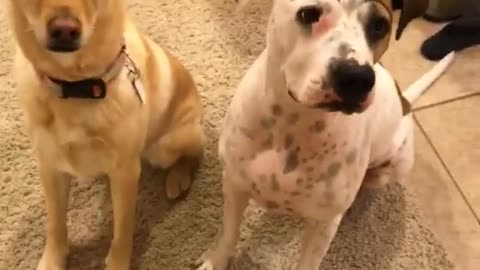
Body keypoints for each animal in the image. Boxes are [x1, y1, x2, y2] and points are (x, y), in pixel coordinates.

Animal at [7, 1, 203, 268]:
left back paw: (178, 178)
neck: (76, 87)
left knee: (196, 153)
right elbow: (55, 224)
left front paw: (117, 262)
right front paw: (53, 260)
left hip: (164, 147)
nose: (64, 30)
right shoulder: (50, 167)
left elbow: (122, 229)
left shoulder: (125, 173)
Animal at [197, 0, 456, 270]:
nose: (356, 77)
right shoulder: (234, 185)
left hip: (393, 167)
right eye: (309, 13)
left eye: (379, 25)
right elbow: (229, 234)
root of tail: (404, 101)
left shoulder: (323, 225)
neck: (293, 122)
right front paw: (216, 261)